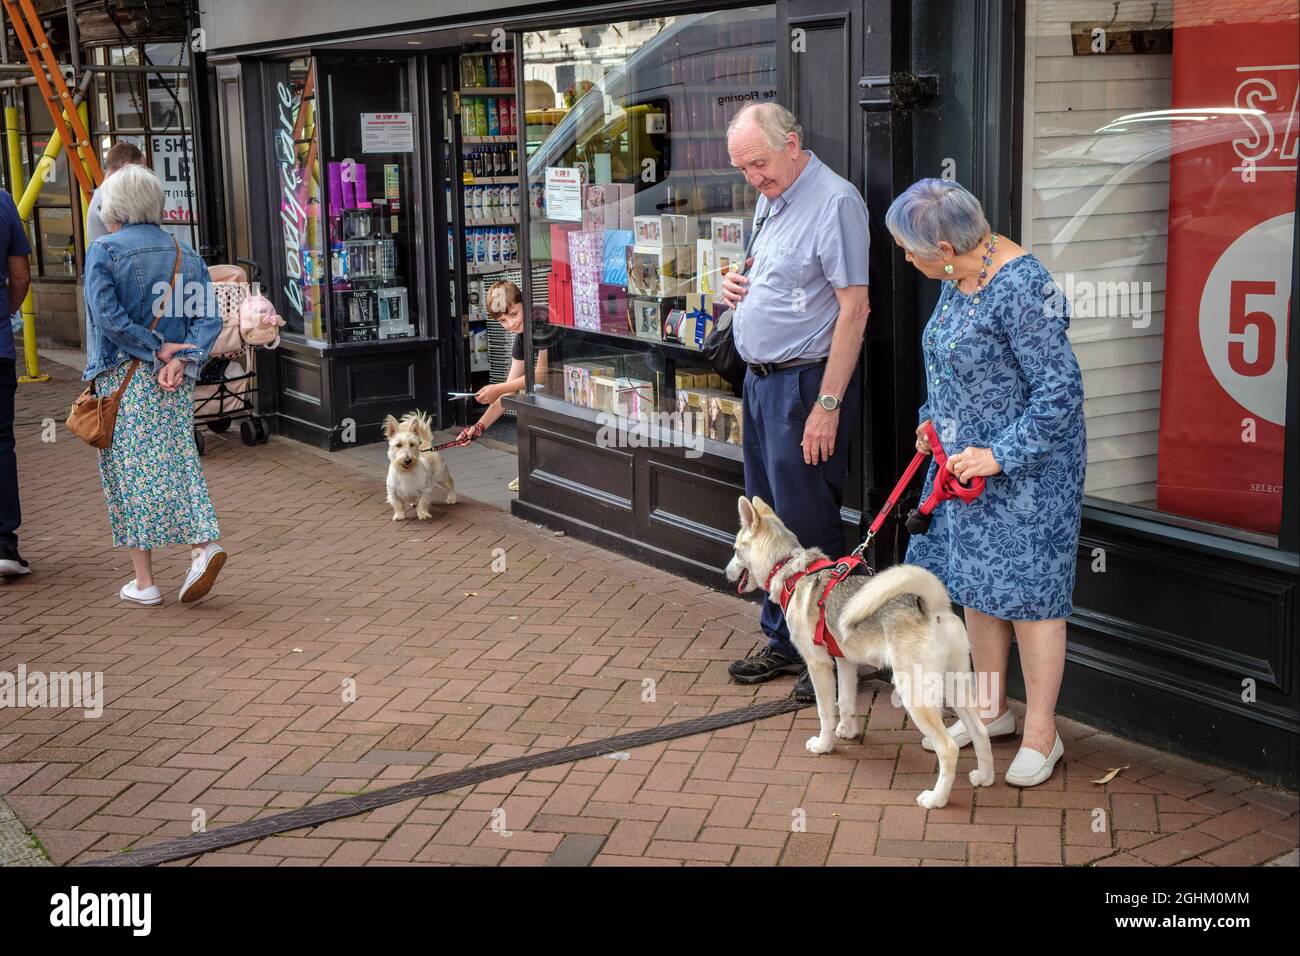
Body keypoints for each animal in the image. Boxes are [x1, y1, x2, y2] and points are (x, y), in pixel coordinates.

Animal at [722, 496, 993, 811]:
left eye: (735, 550)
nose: (725, 573)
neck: (792, 570)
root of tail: (932, 607)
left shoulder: (818, 665)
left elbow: (825, 711)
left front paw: (824, 745)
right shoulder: (845, 662)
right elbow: (847, 703)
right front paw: (848, 731)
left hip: (916, 695)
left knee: (948, 748)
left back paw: (936, 799)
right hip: (955, 684)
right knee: (980, 731)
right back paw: (985, 777)